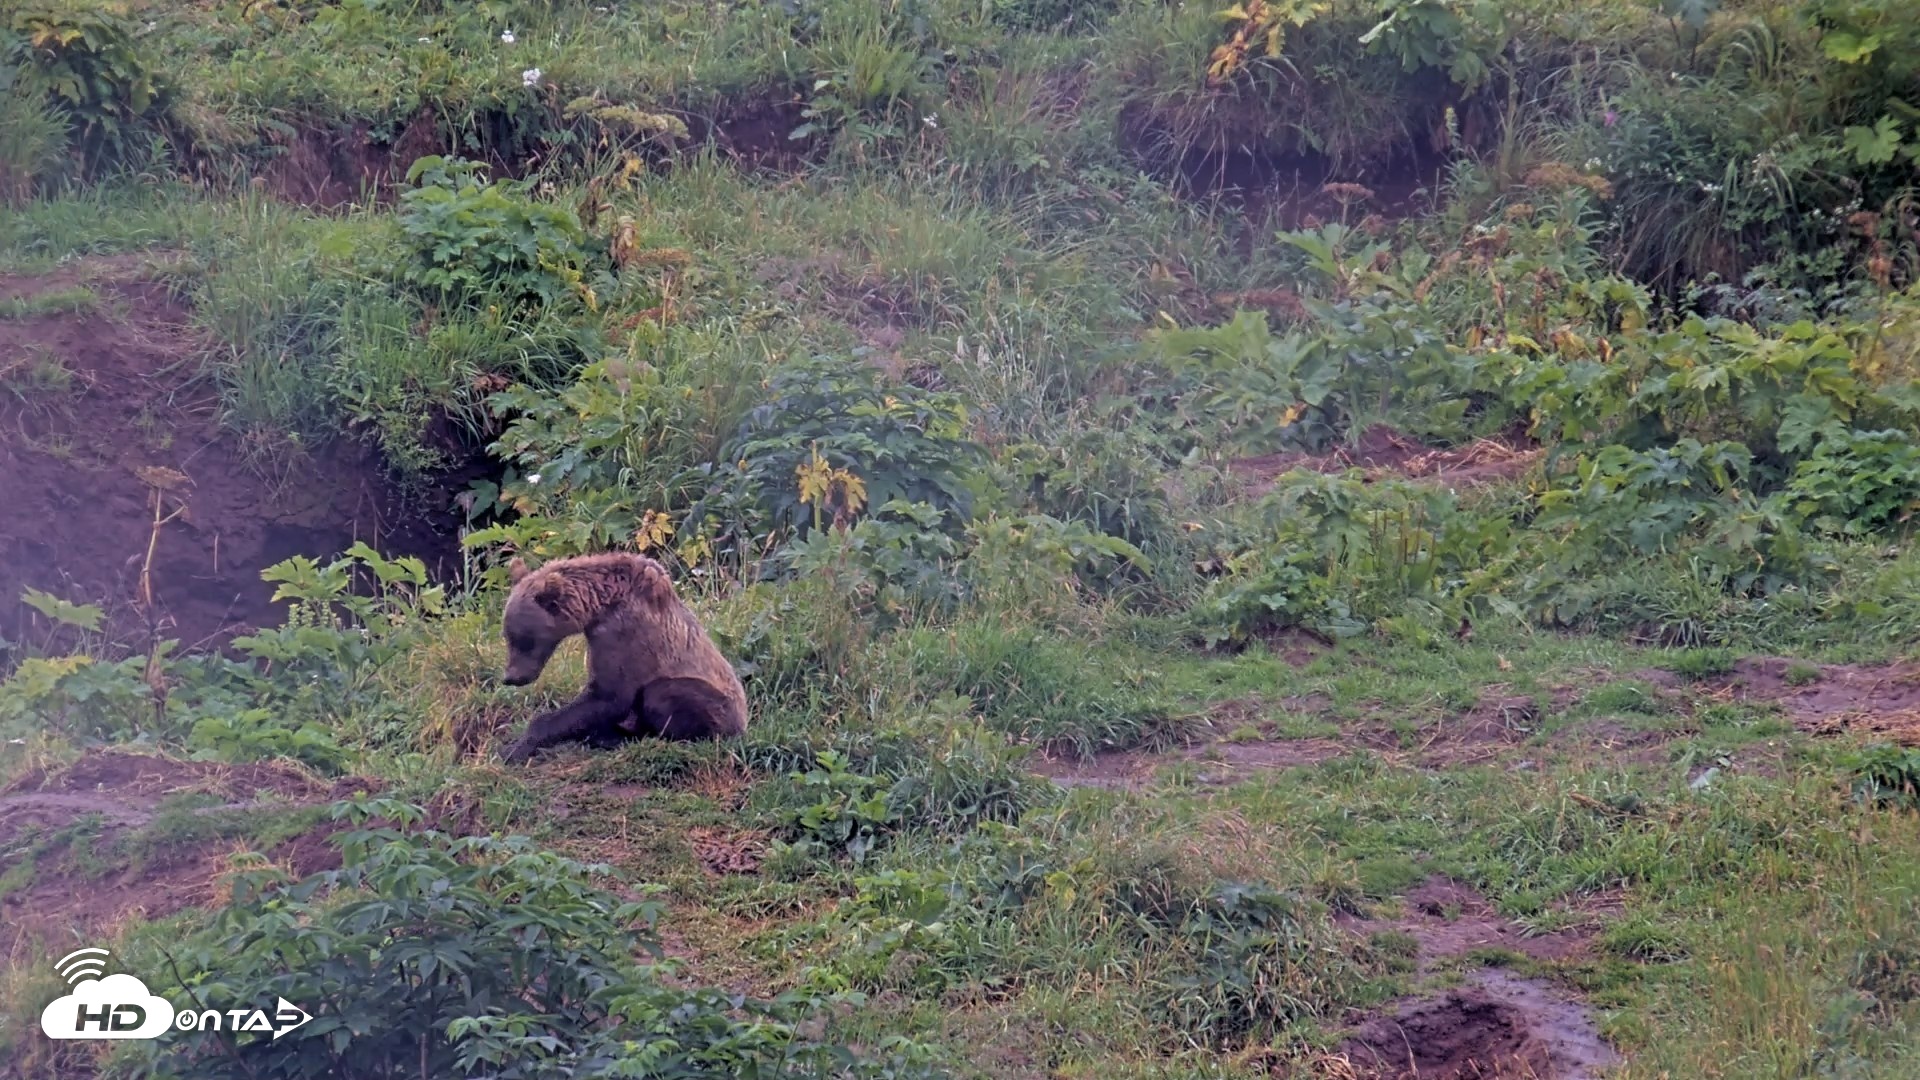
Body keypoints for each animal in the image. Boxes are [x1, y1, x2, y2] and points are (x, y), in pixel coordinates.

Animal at [496, 550, 748, 765]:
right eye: (507, 635)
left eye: (524, 639)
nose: (510, 677)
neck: (598, 606)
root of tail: (743, 723)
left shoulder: (623, 634)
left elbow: (610, 696)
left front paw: (515, 748)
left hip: (719, 707)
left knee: (663, 693)